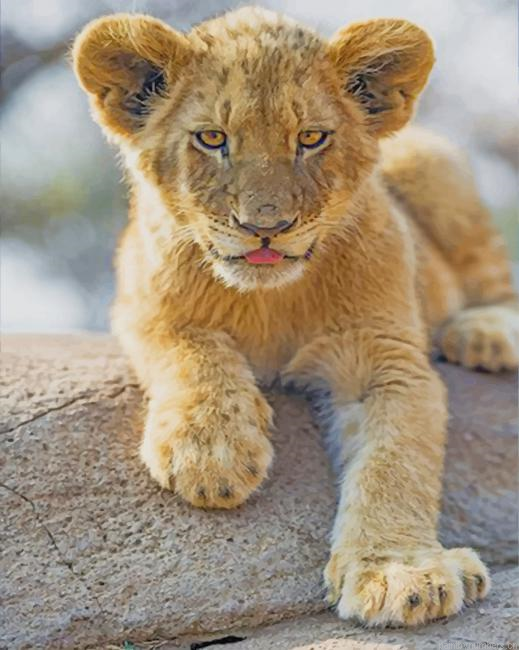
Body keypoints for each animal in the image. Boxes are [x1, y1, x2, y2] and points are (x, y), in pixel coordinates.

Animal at [73, 6, 518, 627]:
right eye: (212, 138)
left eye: (311, 138)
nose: (265, 226)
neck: (268, 300)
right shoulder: (142, 300)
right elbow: (192, 349)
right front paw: (210, 452)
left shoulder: (385, 359)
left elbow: (395, 462)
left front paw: (398, 571)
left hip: (431, 164)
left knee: (493, 276)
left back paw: (485, 335)